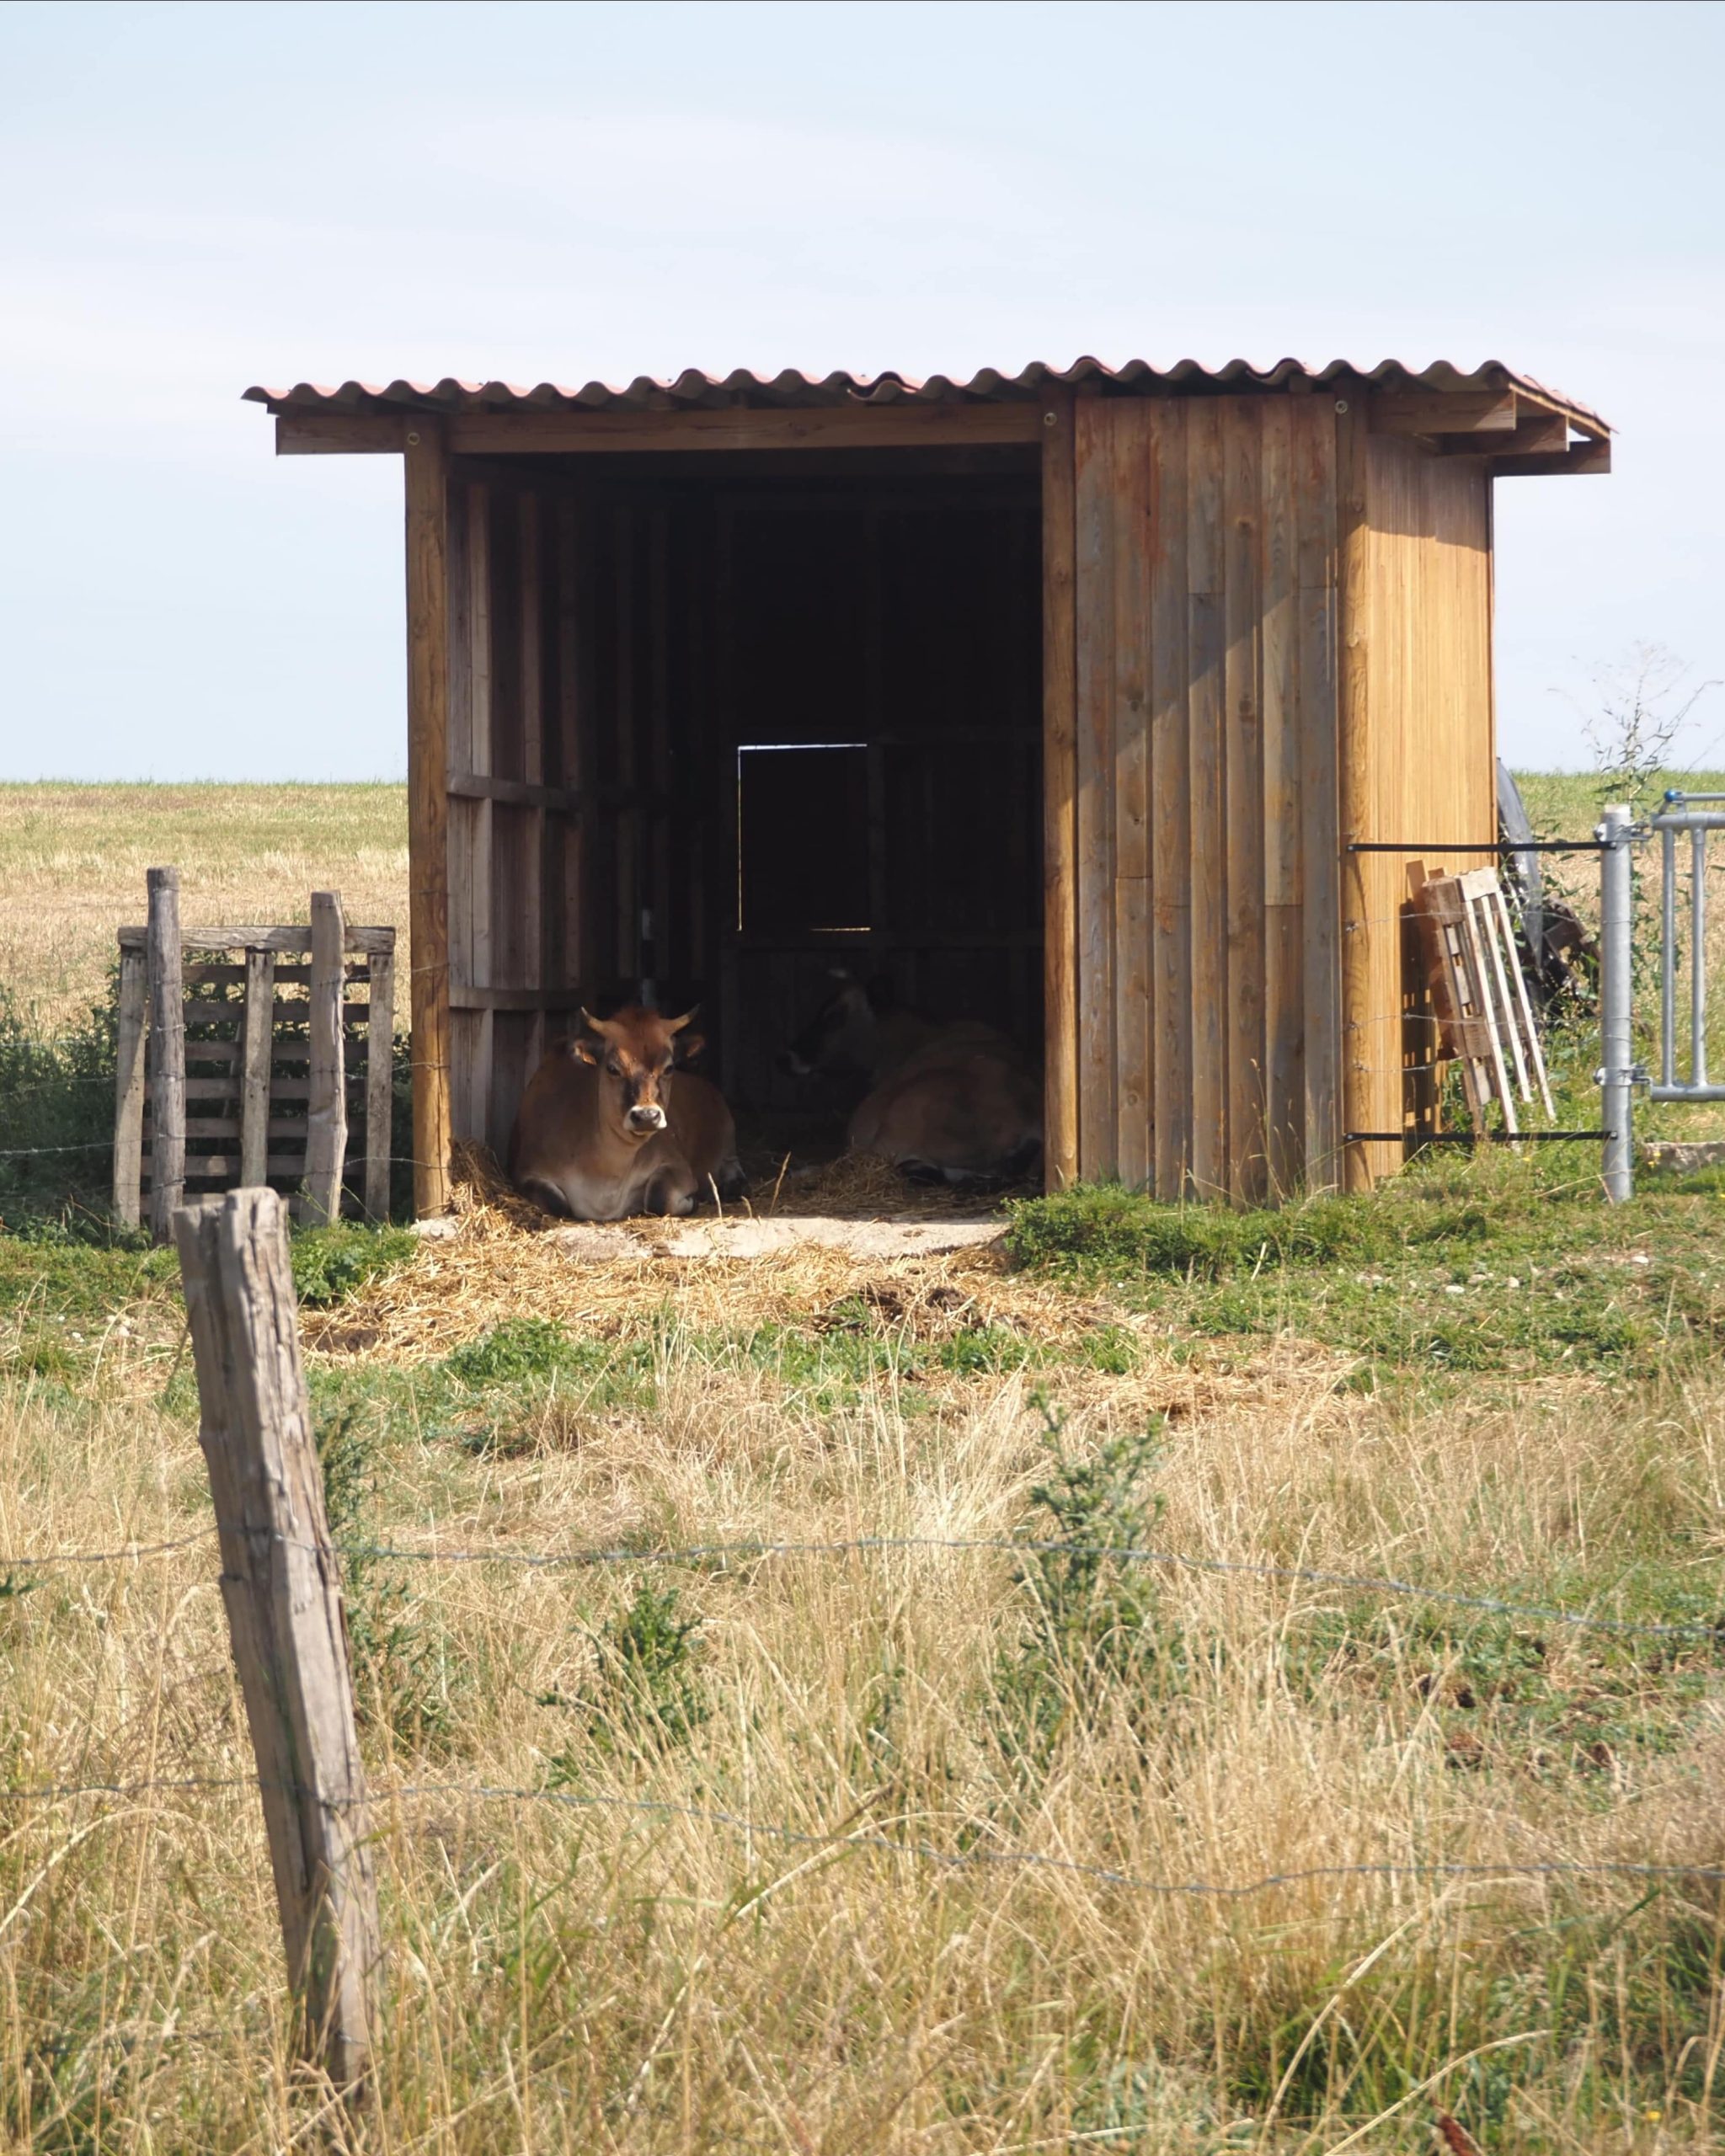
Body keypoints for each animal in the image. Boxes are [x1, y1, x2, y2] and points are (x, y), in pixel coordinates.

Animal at [502, 1004, 737, 1225]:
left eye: (669, 1068)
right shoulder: (527, 1172)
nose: (647, 1116)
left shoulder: (677, 1165)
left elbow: (659, 1197)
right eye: (612, 1068)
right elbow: (557, 1204)